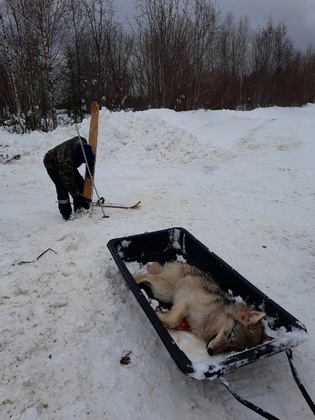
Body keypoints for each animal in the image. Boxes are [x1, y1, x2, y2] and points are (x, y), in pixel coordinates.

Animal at [135, 262, 270, 354]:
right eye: (229, 334)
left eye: (233, 348)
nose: (210, 352)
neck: (214, 316)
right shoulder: (185, 303)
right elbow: (174, 320)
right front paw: (158, 315)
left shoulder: (188, 322)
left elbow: (175, 321)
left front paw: (162, 316)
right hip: (163, 291)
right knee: (145, 276)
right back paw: (134, 278)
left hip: (162, 291)